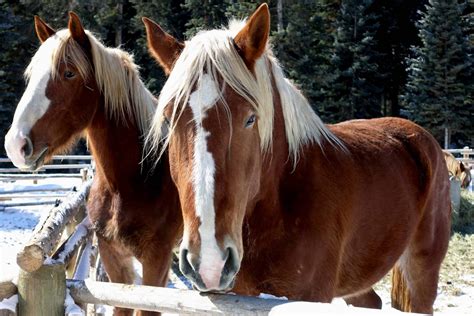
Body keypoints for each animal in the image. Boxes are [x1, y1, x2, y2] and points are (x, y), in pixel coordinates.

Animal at [3, 12, 181, 316]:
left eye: (69, 73)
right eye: (31, 75)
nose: (15, 144)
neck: (136, 181)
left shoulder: (156, 260)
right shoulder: (113, 257)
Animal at [146, 3, 450, 314]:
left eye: (250, 119)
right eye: (169, 120)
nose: (209, 262)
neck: (282, 202)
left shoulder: (311, 296)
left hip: (422, 270)